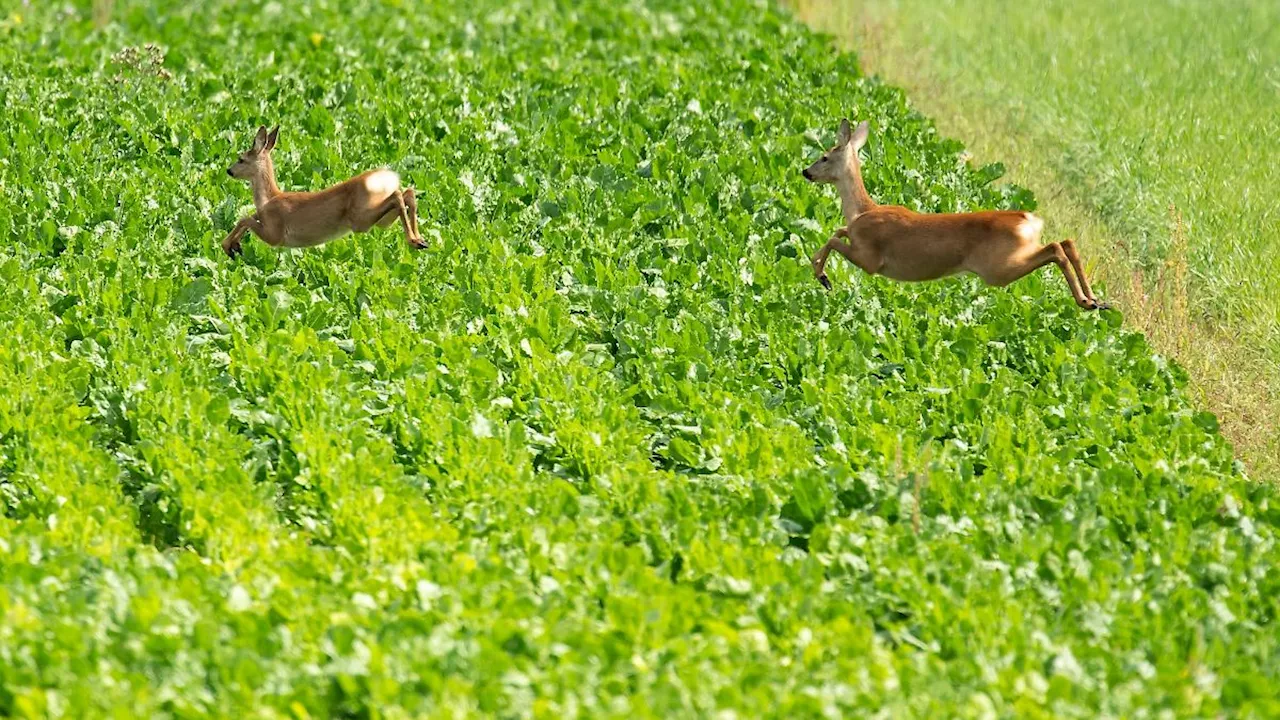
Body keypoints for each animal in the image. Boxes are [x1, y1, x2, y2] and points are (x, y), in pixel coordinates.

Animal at [217, 126, 422, 257]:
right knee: (407, 193)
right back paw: (420, 240)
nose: (229, 170)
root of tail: (386, 176)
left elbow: (245, 218)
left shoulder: (275, 235)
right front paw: (233, 246)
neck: (269, 198)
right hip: (382, 221)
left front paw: (228, 246)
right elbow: (250, 216)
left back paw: (415, 241)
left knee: (398, 196)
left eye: (241, 159)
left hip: (360, 219)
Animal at [803, 117, 1105, 308]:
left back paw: (1086, 301)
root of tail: (1031, 220)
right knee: (1066, 242)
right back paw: (1095, 301)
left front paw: (822, 276)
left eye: (824, 156)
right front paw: (819, 270)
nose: (805, 171)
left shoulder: (870, 260)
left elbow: (834, 239)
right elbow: (838, 230)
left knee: (1056, 248)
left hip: (998, 268)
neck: (863, 210)